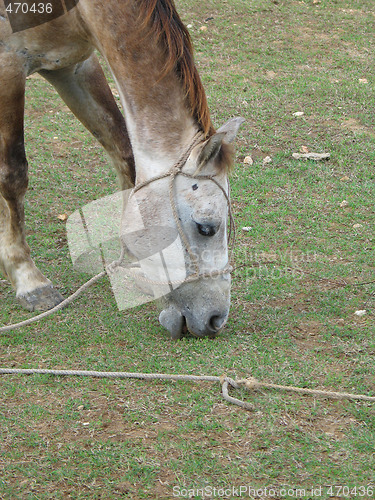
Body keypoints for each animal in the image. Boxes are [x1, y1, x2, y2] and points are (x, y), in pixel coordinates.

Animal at [0, 0, 245, 340]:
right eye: (206, 227)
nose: (215, 320)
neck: (79, 10)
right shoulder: (8, 66)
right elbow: (13, 175)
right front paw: (28, 280)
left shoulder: (75, 66)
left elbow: (122, 150)